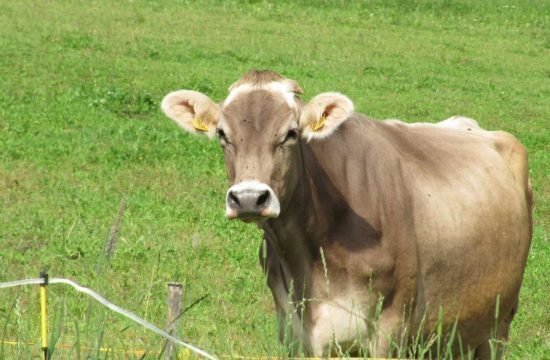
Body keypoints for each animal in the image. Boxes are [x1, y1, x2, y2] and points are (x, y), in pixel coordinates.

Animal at [161, 69, 536, 358]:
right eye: (222, 134)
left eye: (291, 134)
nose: (250, 198)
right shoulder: (294, 332)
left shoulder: (390, 330)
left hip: (498, 322)